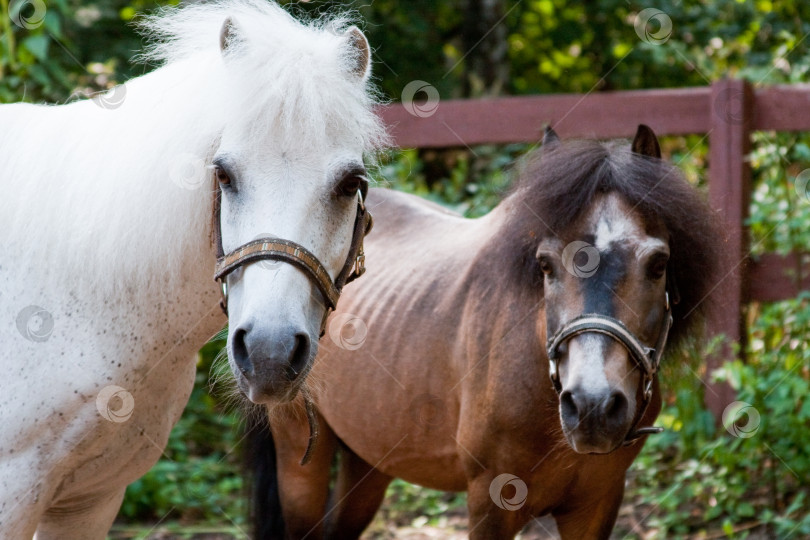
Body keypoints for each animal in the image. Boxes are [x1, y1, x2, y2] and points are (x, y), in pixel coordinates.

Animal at [246, 124, 720, 536]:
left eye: (658, 264)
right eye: (545, 265)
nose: (592, 406)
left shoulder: (597, 505)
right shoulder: (491, 504)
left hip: (369, 458)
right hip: (300, 453)